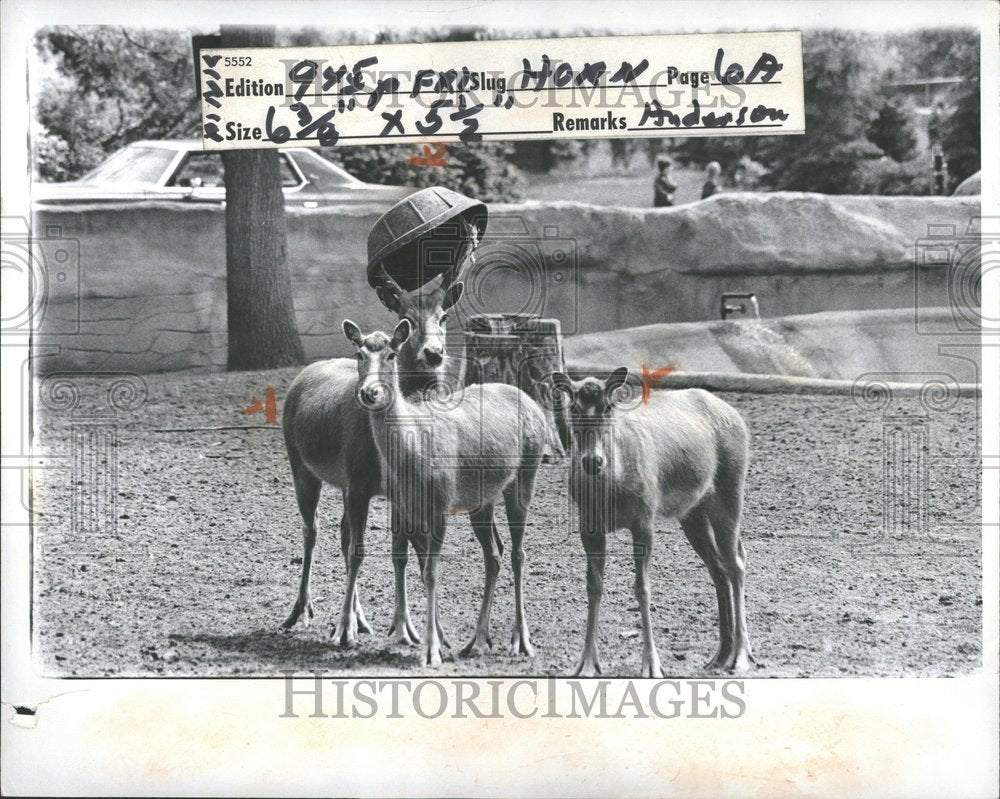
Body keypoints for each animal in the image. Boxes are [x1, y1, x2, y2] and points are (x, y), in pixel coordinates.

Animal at [282, 266, 464, 648]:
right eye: (406, 315)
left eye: (443, 316)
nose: (434, 353)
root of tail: (303, 374)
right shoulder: (358, 482)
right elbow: (361, 550)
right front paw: (344, 630)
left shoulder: (394, 490)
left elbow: (402, 550)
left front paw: (412, 629)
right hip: (301, 465)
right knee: (312, 529)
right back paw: (302, 611)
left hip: (342, 482)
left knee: (341, 532)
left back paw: (361, 618)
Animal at [344, 318, 548, 668]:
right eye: (359, 353)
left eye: (391, 354)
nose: (369, 392)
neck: (413, 455)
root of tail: (533, 404)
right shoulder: (405, 506)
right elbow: (416, 563)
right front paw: (433, 641)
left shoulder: (440, 503)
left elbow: (431, 572)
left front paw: (431, 651)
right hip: (481, 499)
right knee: (494, 553)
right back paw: (477, 641)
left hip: (526, 472)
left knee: (519, 553)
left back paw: (521, 641)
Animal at [552, 368, 752, 676]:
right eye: (573, 407)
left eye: (608, 406)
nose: (592, 462)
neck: (610, 493)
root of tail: (737, 416)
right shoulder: (589, 526)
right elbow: (593, 586)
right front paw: (585, 664)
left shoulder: (644, 518)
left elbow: (642, 588)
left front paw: (652, 665)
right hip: (692, 512)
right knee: (718, 568)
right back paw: (719, 656)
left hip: (730, 489)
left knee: (736, 564)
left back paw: (740, 656)